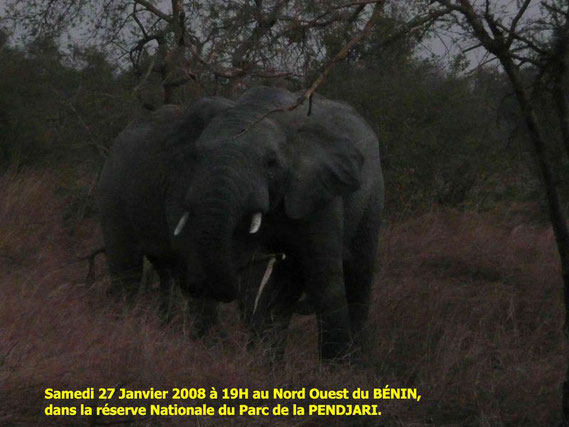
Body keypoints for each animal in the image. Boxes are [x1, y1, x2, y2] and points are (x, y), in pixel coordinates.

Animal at [97, 87, 384, 362]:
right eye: (198, 156)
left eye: (271, 163)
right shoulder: (181, 181)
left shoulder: (316, 188)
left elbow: (322, 272)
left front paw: (334, 370)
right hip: (113, 192)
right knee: (129, 268)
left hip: (371, 199)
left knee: (356, 273)